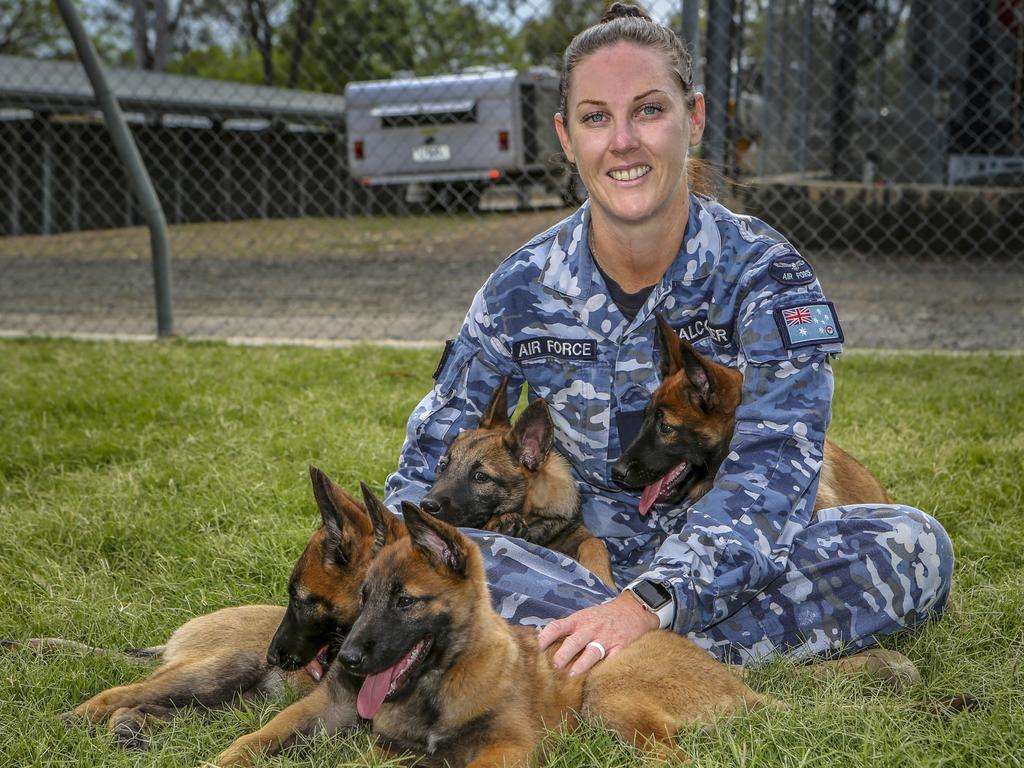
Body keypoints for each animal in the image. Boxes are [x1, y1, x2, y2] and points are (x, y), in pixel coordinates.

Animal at [337, 505, 774, 768]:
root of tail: (739, 687)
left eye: (405, 601)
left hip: (607, 688)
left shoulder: (512, 746)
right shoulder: (387, 751)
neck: (437, 688)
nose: (346, 660)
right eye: (364, 597)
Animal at [417, 378, 614, 589]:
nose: (426, 505)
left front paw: (604, 578)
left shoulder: (576, 532)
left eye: (480, 477)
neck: (535, 517)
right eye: (443, 466)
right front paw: (503, 523)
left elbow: (595, 544)